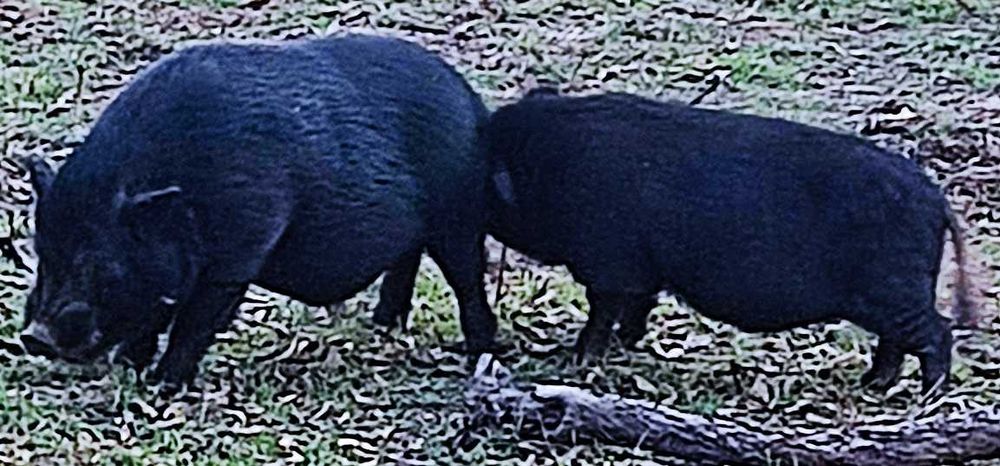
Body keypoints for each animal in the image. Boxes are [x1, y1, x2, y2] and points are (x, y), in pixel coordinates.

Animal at [20, 35, 497, 391]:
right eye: (42, 252)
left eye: (99, 263)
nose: (34, 336)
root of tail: (474, 104)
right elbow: (152, 319)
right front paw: (127, 367)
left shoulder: (240, 253)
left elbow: (195, 322)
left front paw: (163, 386)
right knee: (405, 262)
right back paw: (380, 327)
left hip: (457, 217)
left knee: (467, 278)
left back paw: (479, 355)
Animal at [484, 89, 988, 393]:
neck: (550, 167)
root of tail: (936, 199)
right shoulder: (643, 270)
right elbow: (638, 307)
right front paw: (627, 345)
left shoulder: (609, 262)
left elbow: (603, 309)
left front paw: (579, 360)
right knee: (898, 340)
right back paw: (874, 385)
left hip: (895, 287)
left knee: (937, 332)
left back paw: (926, 395)